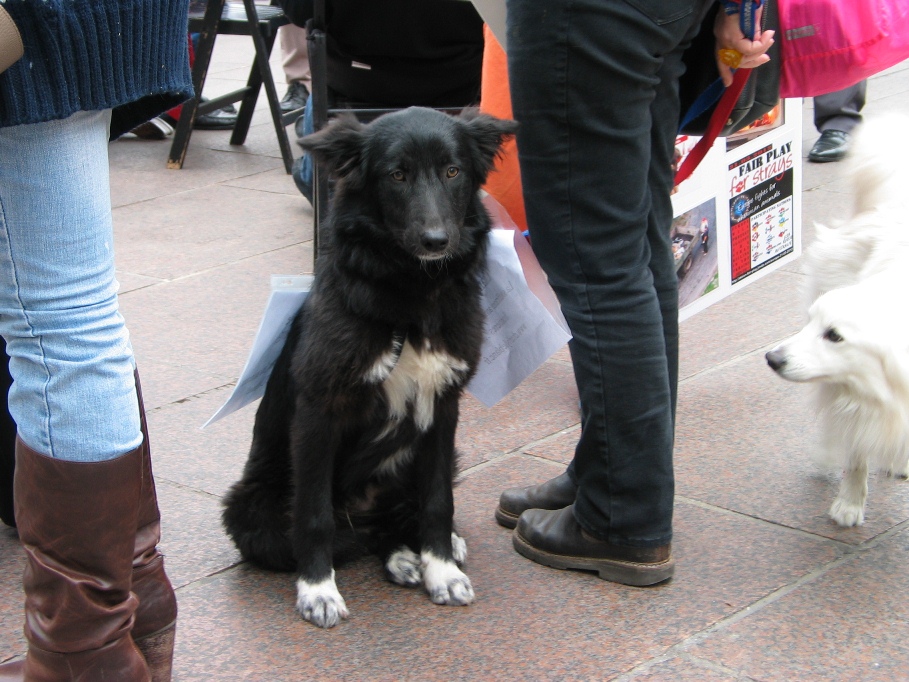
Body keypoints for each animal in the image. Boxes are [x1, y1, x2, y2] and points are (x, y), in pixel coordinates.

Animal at [223, 107, 516, 628]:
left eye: (453, 171)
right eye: (396, 175)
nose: (436, 241)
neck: (412, 294)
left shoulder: (443, 409)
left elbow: (438, 501)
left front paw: (440, 568)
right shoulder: (319, 413)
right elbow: (314, 516)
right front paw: (318, 590)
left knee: (393, 522)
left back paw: (416, 551)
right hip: (249, 508)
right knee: (346, 537)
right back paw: (397, 558)